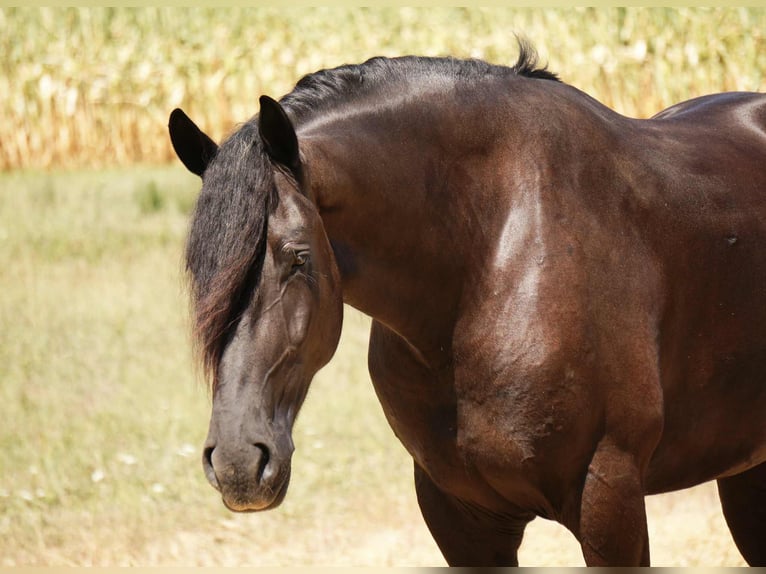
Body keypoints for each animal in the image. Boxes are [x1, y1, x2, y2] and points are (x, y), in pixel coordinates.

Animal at [168, 41, 766, 566]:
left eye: (296, 257)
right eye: (201, 268)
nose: (238, 462)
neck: (491, 253)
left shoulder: (609, 497)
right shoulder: (460, 515)